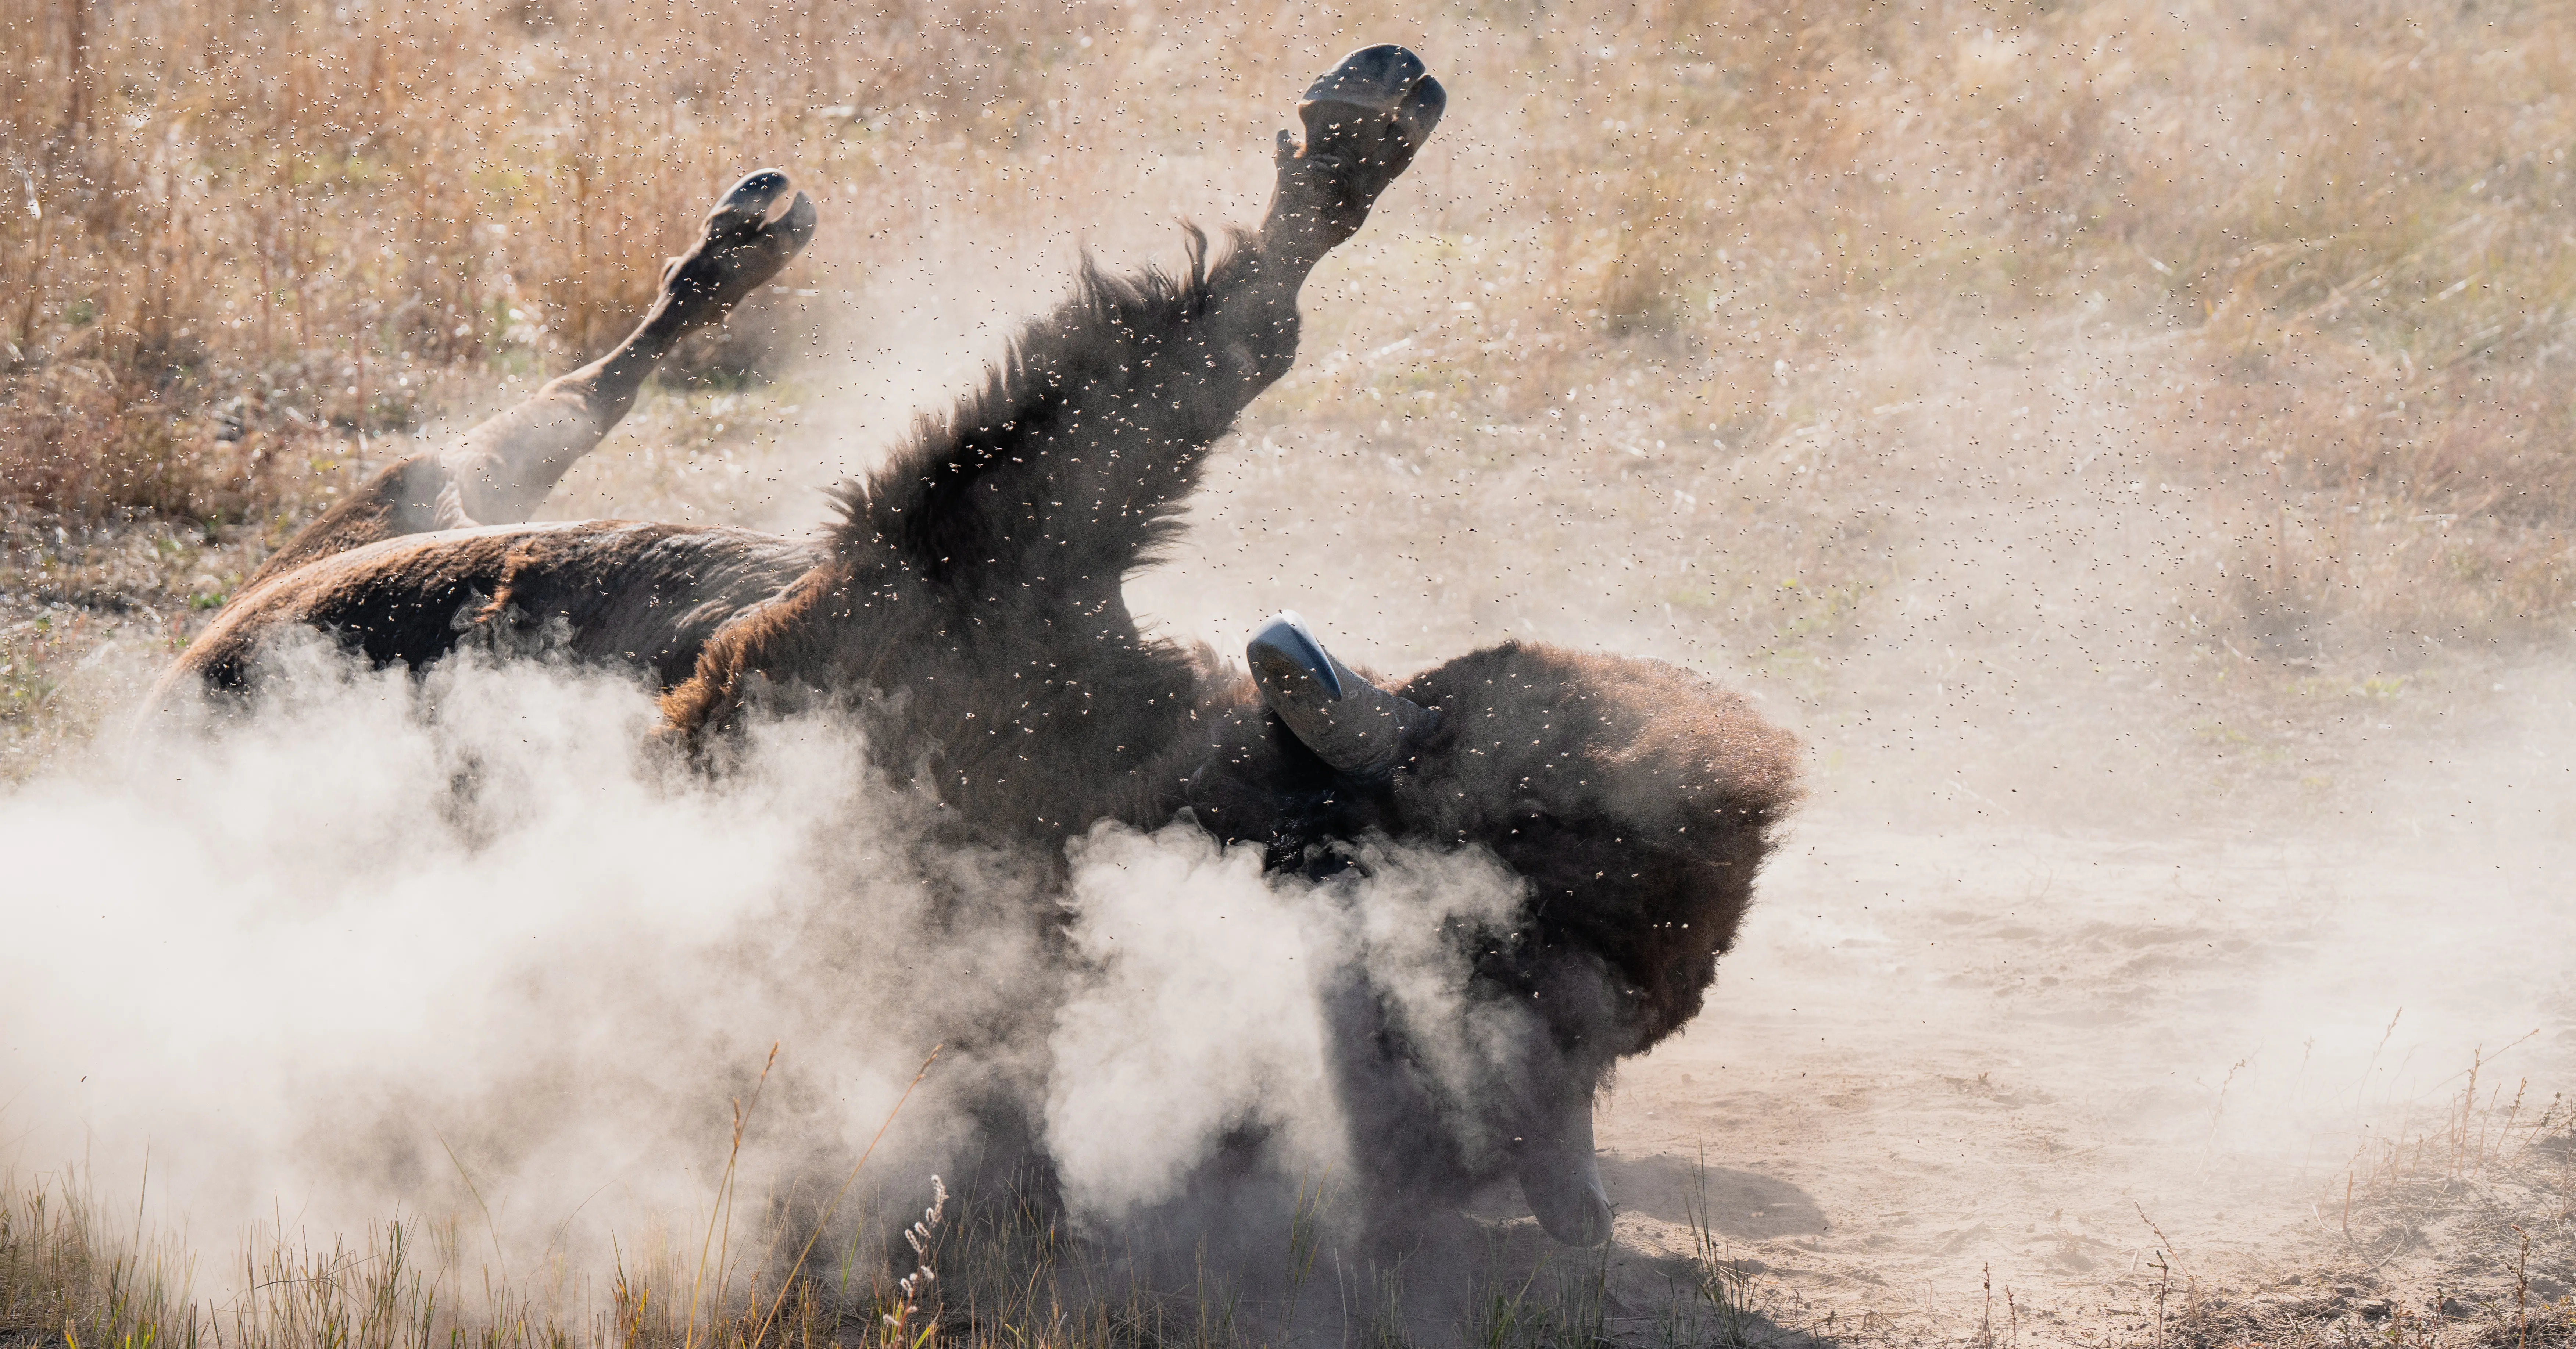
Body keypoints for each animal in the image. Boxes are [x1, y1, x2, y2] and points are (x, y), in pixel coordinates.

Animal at [155, 47, 1800, 1247]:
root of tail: (166, 722)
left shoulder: (950, 553)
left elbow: (1200, 348)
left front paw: (1353, 134)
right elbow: (1216, 348)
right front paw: (1363, 130)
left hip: (364, 545)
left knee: (545, 413)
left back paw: (751, 238)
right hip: (408, 515)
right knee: (561, 409)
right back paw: (753, 231)